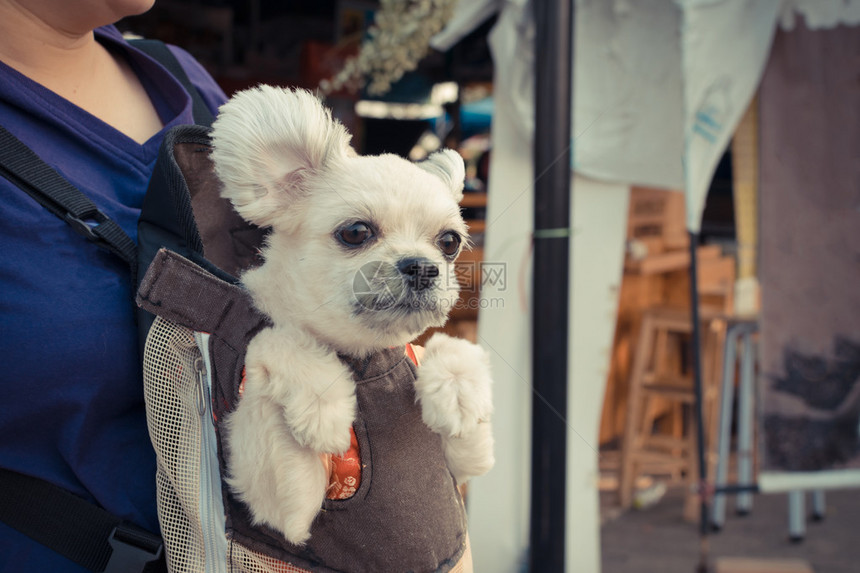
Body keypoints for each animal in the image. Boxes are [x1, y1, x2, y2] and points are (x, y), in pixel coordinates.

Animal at [208, 86, 494, 544]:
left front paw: (457, 394)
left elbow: (453, 347)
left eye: (449, 242)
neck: (364, 354)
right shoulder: (282, 507)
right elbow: (275, 338)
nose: (423, 266)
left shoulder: (466, 467)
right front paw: (322, 401)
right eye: (356, 232)